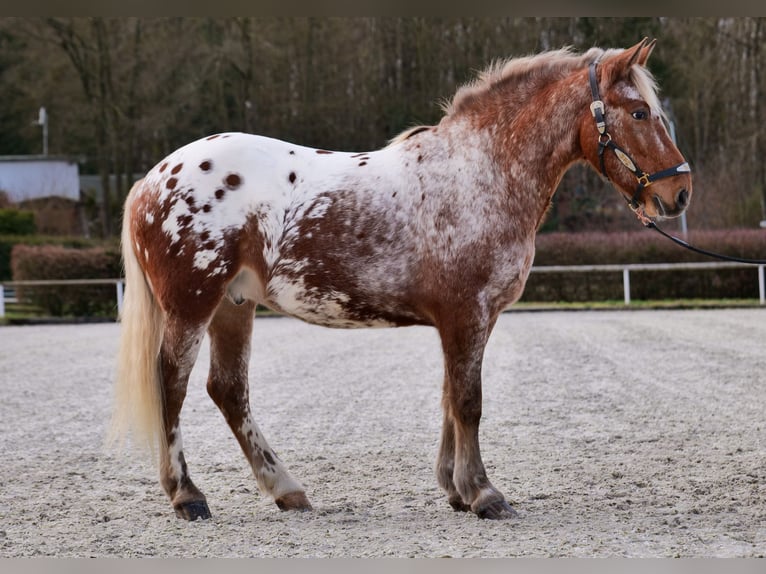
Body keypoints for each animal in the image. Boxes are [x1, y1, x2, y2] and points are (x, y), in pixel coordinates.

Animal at [112, 36, 696, 520]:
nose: (679, 193)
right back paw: (187, 495)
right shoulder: (466, 315)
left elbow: (450, 399)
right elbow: (468, 402)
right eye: (640, 112)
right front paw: (484, 494)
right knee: (172, 382)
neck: (479, 173)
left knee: (228, 390)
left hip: (233, 306)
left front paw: (456, 490)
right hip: (192, 304)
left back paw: (286, 490)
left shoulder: (466, 321)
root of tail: (152, 178)